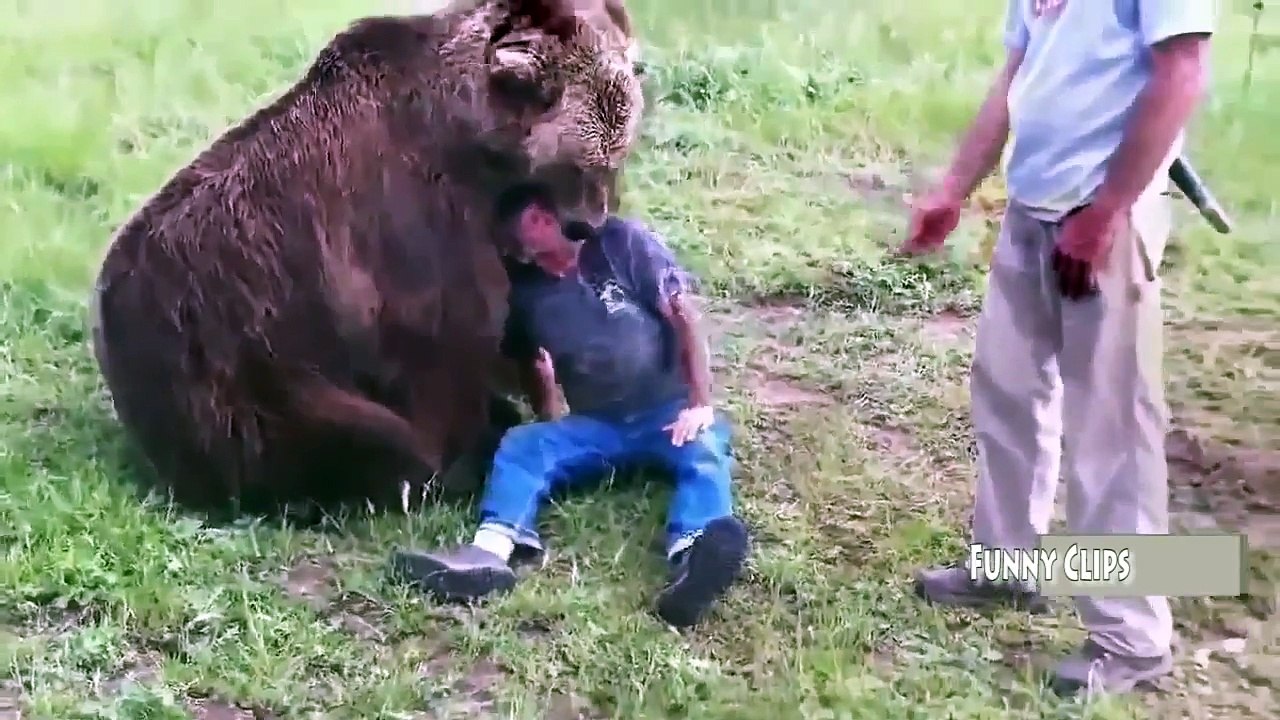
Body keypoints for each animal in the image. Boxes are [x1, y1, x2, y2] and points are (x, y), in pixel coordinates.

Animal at [89, 0, 645, 518]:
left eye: (614, 157)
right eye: (577, 165)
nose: (588, 225)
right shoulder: (417, 225)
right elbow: (452, 338)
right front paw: (472, 447)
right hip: (248, 371)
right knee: (359, 441)